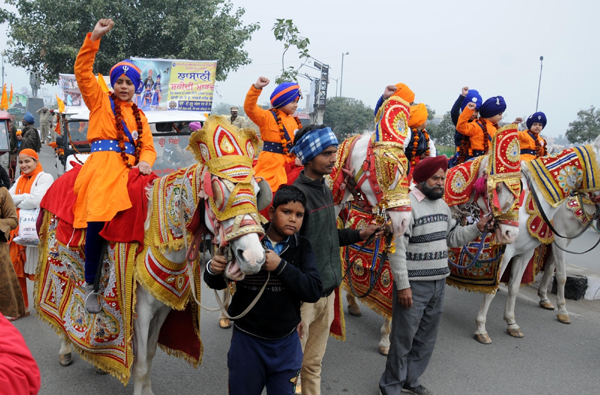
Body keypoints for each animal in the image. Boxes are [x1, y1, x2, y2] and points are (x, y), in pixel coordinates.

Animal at [36, 117, 270, 395]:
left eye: (256, 192)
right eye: (218, 191)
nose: (254, 257)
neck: (160, 235)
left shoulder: (162, 308)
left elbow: (148, 355)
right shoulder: (141, 311)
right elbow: (139, 364)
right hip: (59, 268)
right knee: (63, 309)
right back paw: (65, 348)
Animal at [472, 139, 600, 344]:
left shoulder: (546, 245)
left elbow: (526, 281)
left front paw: (516, 320)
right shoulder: (549, 241)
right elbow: (561, 275)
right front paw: (563, 311)